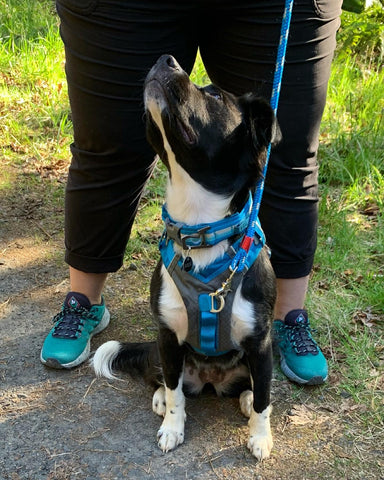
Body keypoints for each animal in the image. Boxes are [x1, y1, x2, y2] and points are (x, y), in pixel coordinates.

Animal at [93, 55, 280, 462]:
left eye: (215, 95)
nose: (166, 59)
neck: (201, 229)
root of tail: (213, 381)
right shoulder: (167, 334)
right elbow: (176, 391)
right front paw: (172, 427)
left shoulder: (261, 342)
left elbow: (264, 396)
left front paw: (260, 436)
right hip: (163, 352)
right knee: (164, 379)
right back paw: (161, 398)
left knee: (254, 386)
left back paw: (244, 397)